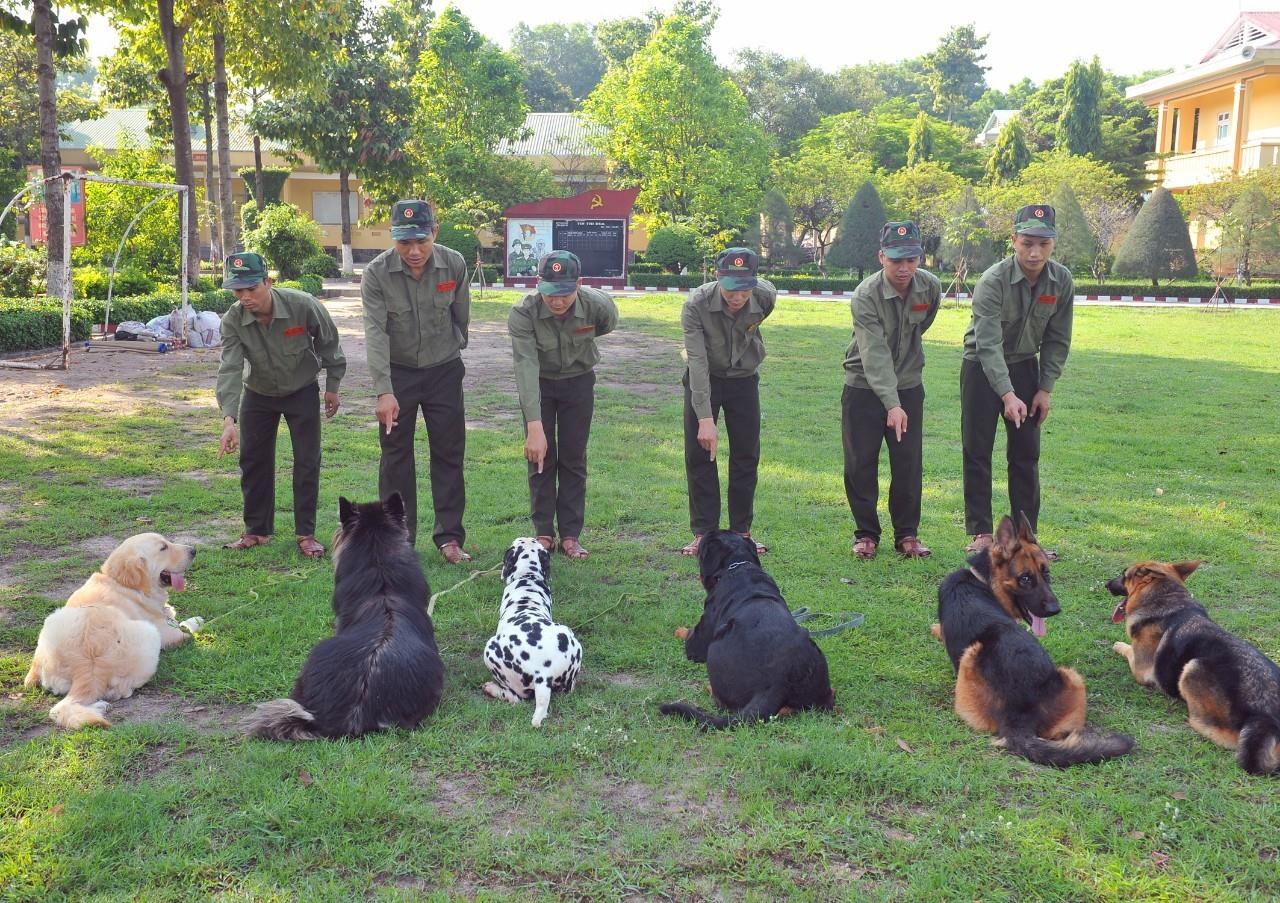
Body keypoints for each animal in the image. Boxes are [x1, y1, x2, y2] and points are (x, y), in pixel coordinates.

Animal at [660, 527, 839, 727]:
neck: (738, 565)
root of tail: (777, 681)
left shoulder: (702, 632)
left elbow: (689, 636)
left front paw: (679, 630)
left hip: (716, 647)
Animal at [936, 514, 1136, 758]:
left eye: (1046, 573)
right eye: (1024, 579)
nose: (1055, 609)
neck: (982, 580)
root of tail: (1019, 718)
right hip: (1073, 676)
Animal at [1111, 561, 1280, 773]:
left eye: (1123, 575)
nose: (1107, 584)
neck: (1169, 600)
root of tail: (1266, 711)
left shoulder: (1140, 669)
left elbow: (1127, 649)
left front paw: (1118, 644)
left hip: (1192, 667)